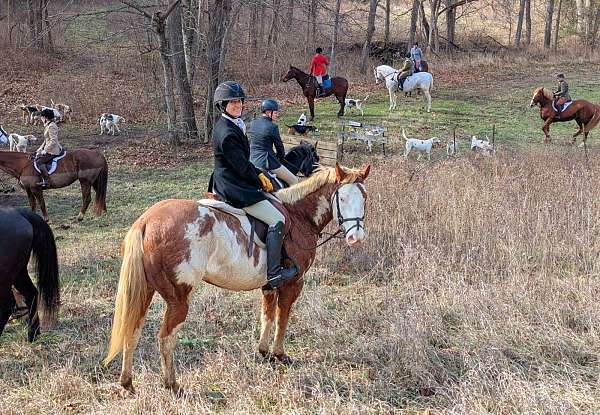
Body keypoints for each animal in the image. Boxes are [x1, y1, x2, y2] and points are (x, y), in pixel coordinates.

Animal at [103, 164, 370, 394]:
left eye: (364, 198)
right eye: (342, 198)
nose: (356, 238)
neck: (298, 217)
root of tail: (147, 220)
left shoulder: (269, 285)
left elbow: (267, 316)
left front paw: (263, 353)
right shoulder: (292, 283)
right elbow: (282, 318)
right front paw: (280, 355)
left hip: (145, 292)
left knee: (132, 330)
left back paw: (127, 383)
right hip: (178, 300)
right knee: (166, 338)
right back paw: (173, 385)